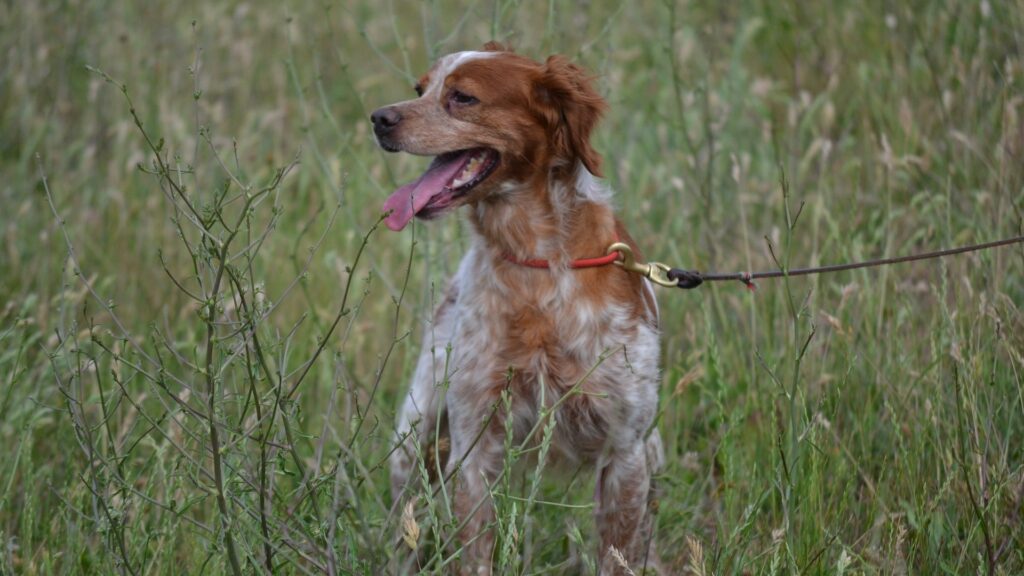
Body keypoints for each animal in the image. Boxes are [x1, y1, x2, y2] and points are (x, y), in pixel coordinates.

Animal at [370, 42, 663, 569]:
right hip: (414, 440)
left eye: (463, 97)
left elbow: (617, 555)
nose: (379, 118)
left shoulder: (625, 451)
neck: (536, 262)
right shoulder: (474, 445)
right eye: (420, 90)